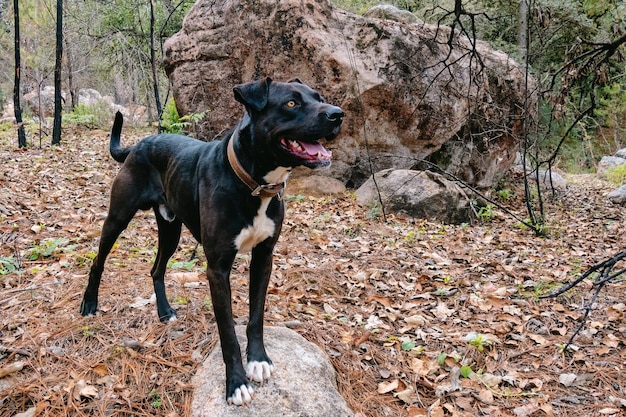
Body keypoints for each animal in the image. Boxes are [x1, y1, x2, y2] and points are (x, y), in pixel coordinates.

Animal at [80, 78, 344, 404]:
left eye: (318, 97)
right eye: (291, 103)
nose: (338, 114)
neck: (254, 183)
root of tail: (139, 144)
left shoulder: (264, 257)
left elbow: (256, 316)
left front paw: (258, 360)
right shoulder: (217, 269)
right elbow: (228, 331)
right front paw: (236, 383)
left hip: (171, 229)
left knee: (156, 269)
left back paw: (164, 311)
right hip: (118, 216)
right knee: (98, 261)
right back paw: (89, 303)